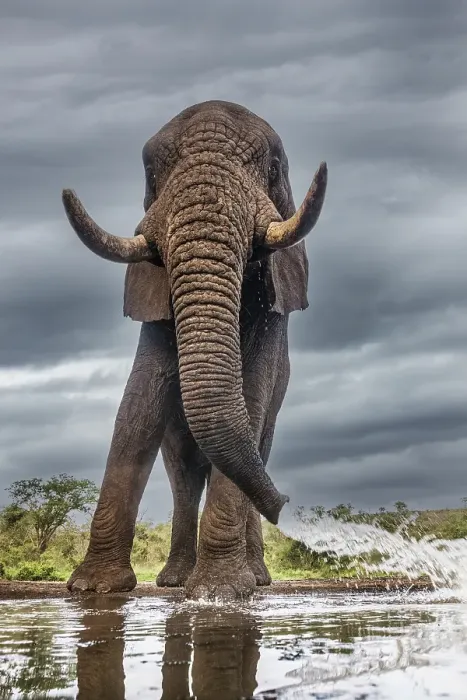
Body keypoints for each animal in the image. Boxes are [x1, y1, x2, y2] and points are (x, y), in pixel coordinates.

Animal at [61, 99, 327, 600]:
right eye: (150, 176)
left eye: (274, 167)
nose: (284, 503)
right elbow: (139, 402)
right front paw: (93, 589)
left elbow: (252, 392)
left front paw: (220, 591)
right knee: (183, 474)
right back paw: (173, 581)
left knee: (255, 449)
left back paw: (253, 577)